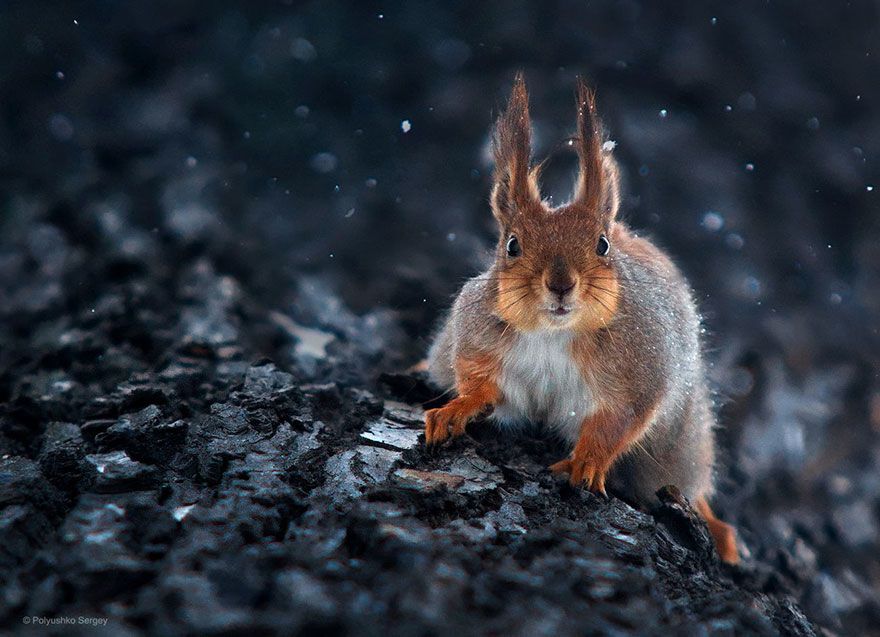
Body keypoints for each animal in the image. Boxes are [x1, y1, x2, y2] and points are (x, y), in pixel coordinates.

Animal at [422, 73, 740, 560]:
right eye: (512, 245)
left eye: (602, 245)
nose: (560, 284)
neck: (555, 332)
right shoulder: (478, 336)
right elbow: (481, 385)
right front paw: (456, 408)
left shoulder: (639, 368)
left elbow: (619, 420)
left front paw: (587, 460)